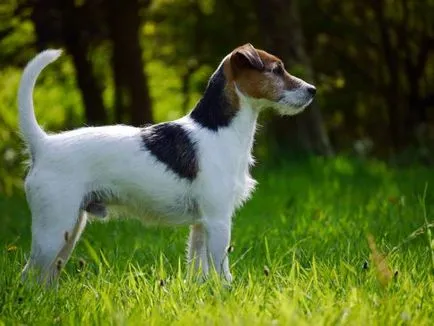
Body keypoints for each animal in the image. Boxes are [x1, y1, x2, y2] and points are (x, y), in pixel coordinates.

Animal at [18, 44, 316, 286]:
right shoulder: (219, 220)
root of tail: (44, 145)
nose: (312, 90)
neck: (217, 129)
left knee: (45, 277)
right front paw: (228, 291)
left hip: (70, 229)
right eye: (276, 69)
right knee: (28, 275)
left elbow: (198, 267)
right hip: (53, 228)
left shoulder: (201, 225)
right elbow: (221, 267)